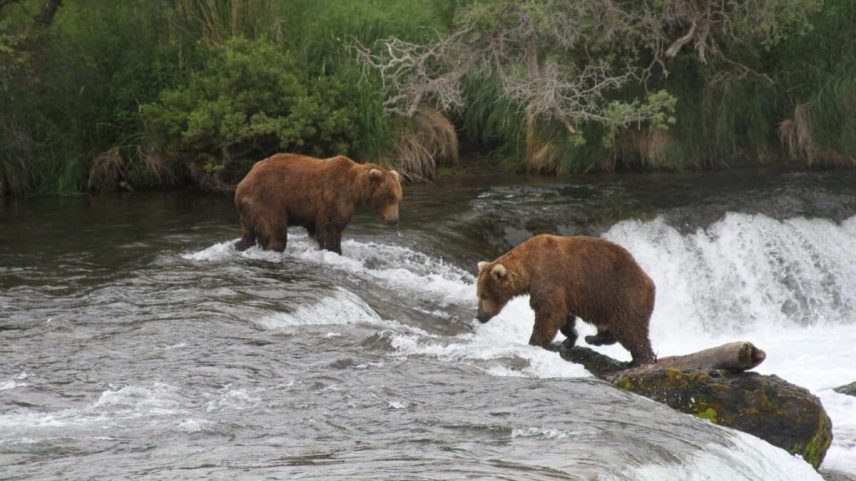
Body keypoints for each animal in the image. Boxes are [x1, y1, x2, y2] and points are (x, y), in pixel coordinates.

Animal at [234, 153, 403, 254]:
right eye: (390, 198)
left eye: (398, 198)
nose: (394, 220)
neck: (355, 190)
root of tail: (241, 184)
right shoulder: (334, 197)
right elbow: (329, 228)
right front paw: (334, 250)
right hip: (268, 200)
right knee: (275, 232)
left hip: (249, 211)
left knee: (248, 234)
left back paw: (239, 246)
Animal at [475, 234, 657, 366]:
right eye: (478, 295)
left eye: (484, 295)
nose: (479, 316)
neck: (529, 267)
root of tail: (650, 281)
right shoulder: (564, 291)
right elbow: (564, 315)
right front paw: (569, 338)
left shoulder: (548, 277)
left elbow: (550, 313)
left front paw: (534, 342)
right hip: (605, 304)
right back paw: (593, 338)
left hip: (623, 295)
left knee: (630, 329)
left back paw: (641, 359)